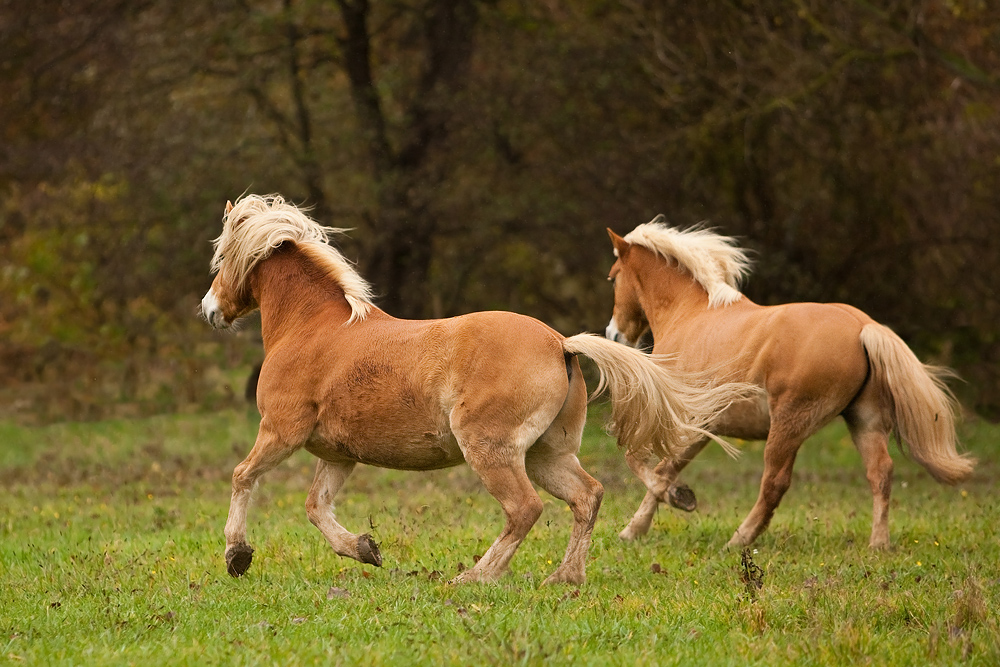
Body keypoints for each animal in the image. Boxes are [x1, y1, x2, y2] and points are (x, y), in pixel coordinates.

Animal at [201, 194, 752, 584]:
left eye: (220, 259)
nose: (209, 310)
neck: (314, 328)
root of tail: (561, 343)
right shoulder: (338, 455)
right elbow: (317, 508)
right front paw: (364, 549)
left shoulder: (281, 431)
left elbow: (242, 476)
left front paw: (237, 555)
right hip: (546, 453)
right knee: (587, 496)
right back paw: (564, 578)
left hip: (491, 449)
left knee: (526, 509)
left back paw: (474, 578)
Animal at [600, 217, 976, 552]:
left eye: (613, 278)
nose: (613, 334)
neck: (690, 314)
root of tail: (862, 326)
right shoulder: (701, 426)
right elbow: (662, 470)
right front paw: (633, 531)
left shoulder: (687, 421)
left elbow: (646, 466)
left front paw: (677, 501)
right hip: (864, 420)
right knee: (880, 472)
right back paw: (878, 545)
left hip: (789, 424)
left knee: (775, 482)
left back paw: (739, 540)